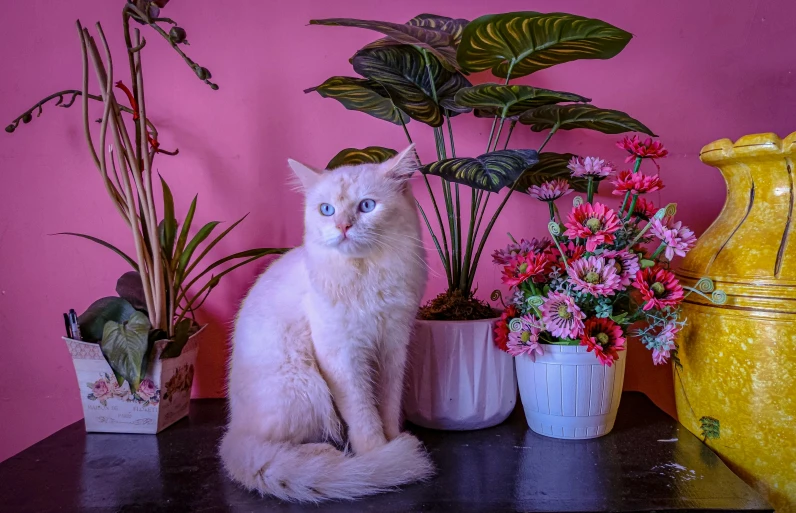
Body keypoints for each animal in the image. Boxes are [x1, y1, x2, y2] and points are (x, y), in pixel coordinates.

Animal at [219, 143, 436, 500]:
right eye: (326, 210)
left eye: (367, 206)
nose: (343, 227)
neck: (367, 273)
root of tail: (233, 431)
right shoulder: (343, 356)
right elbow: (364, 415)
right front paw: (380, 455)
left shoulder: (392, 347)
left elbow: (388, 407)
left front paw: (394, 441)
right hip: (304, 387)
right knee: (274, 445)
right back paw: (327, 456)